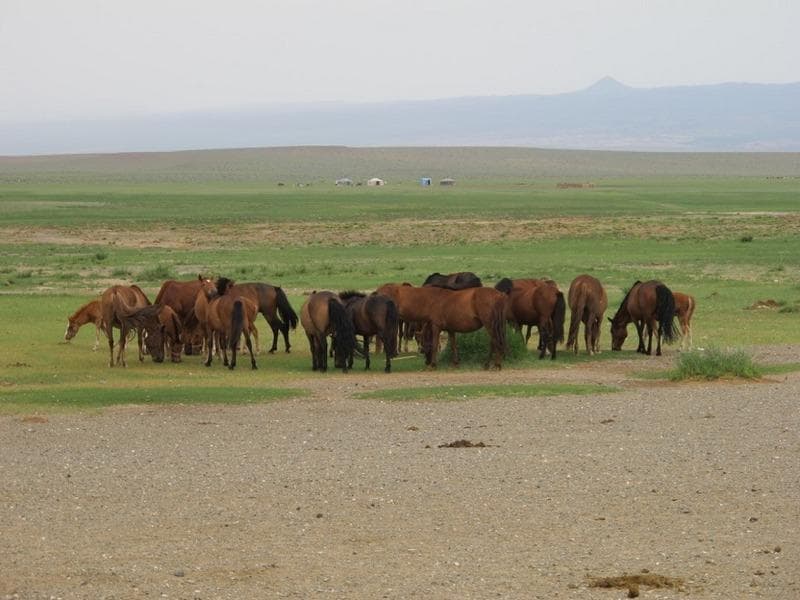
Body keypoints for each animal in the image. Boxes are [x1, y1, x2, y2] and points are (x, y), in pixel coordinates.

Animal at [376, 284, 506, 369]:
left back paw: (494, 364)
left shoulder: (436, 327)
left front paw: (434, 364)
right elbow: (453, 346)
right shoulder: (451, 330)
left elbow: (434, 345)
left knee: (495, 342)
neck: (433, 300)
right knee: (495, 342)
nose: (427, 362)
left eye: (424, 344)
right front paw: (455, 363)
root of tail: (498, 295)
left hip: (489, 325)